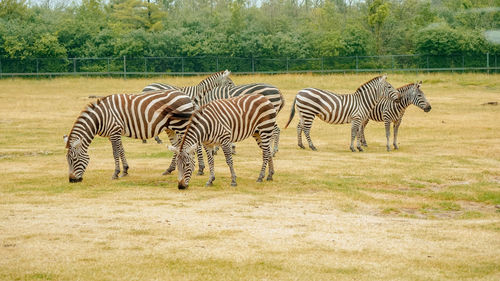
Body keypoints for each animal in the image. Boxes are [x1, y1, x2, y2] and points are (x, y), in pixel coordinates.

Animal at [63, 89, 195, 182]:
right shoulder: (115, 133)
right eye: (67, 160)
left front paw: (116, 173)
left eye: (74, 160)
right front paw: (125, 171)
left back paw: (195, 169)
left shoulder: (114, 131)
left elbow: (115, 152)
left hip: (181, 125)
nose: (72, 180)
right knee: (176, 146)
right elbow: (121, 150)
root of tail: (186, 96)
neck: (100, 118)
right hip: (171, 128)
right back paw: (169, 169)